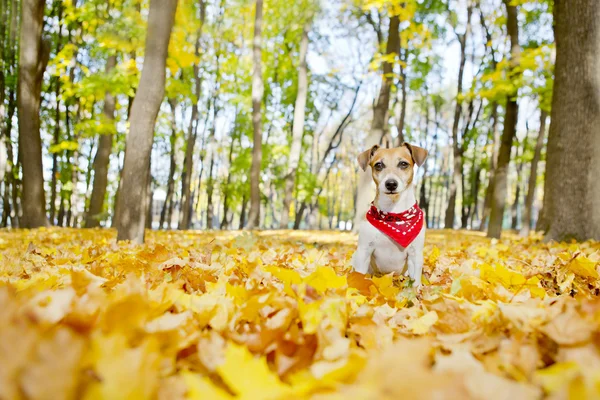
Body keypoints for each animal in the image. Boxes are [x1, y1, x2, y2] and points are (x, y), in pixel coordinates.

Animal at [350, 142, 428, 286]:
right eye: (379, 165)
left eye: (403, 164)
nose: (391, 184)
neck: (394, 216)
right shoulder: (364, 251)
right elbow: (360, 276)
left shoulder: (415, 254)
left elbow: (415, 282)